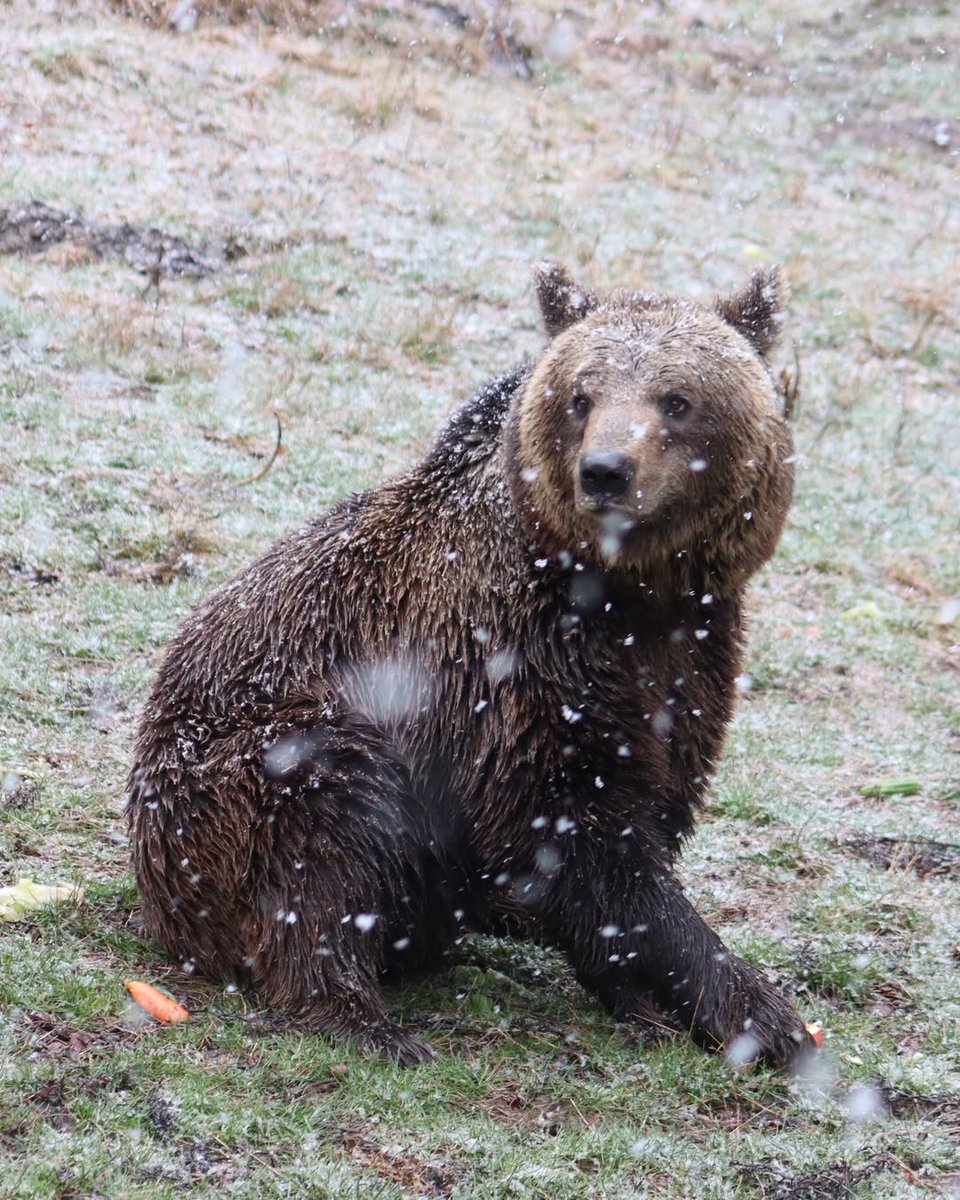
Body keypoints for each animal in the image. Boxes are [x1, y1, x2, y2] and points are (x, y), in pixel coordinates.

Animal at [127, 261, 815, 1068]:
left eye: (677, 399)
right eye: (582, 397)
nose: (605, 472)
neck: (630, 593)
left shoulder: (691, 663)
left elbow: (644, 814)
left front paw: (646, 998)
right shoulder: (512, 668)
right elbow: (578, 837)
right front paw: (763, 1014)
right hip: (237, 770)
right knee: (326, 833)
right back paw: (367, 1019)